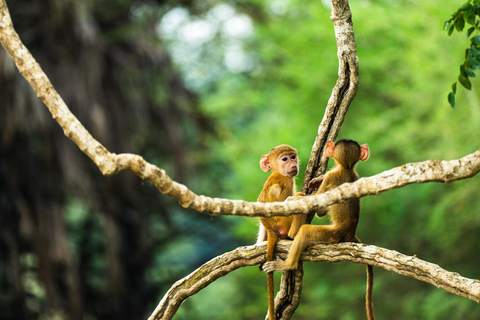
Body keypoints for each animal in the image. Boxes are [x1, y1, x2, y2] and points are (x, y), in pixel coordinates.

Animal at [255, 145, 304, 320]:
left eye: (293, 157)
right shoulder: (285, 181)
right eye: (285, 159)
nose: (293, 164)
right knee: (298, 197)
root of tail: (272, 231)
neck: (277, 172)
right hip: (285, 224)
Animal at [262, 139, 376, 320]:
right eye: (285, 159)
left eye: (292, 157)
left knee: (304, 230)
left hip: (330, 234)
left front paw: (302, 193)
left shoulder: (331, 178)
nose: (292, 163)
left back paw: (289, 261)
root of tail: (350, 233)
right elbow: (321, 209)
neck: (346, 168)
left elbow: (319, 207)